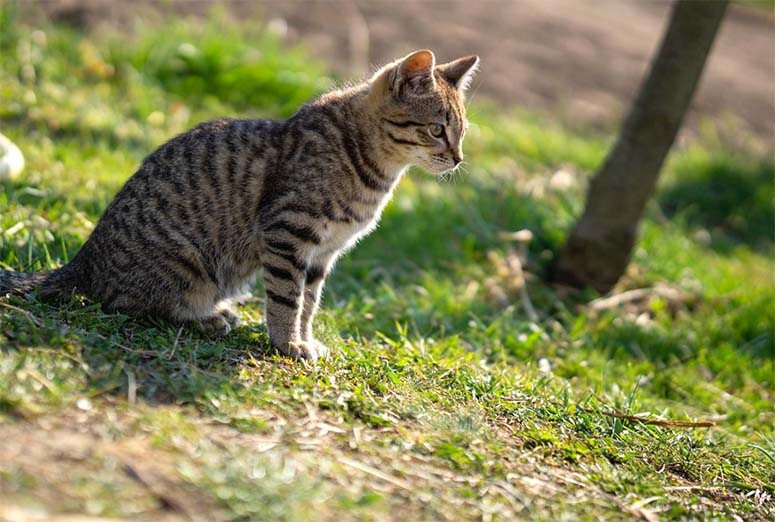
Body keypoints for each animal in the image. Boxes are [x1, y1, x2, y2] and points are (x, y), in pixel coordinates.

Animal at [0, 49, 482, 358]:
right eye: (437, 129)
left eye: (461, 132)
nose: (459, 158)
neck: (373, 169)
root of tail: (82, 260)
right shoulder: (288, 231)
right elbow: (287, 298)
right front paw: (287, 344)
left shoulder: (324, 253)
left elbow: (310, 302)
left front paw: (304, 339)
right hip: (187, 263)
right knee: (126, 305)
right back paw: (206, 319)